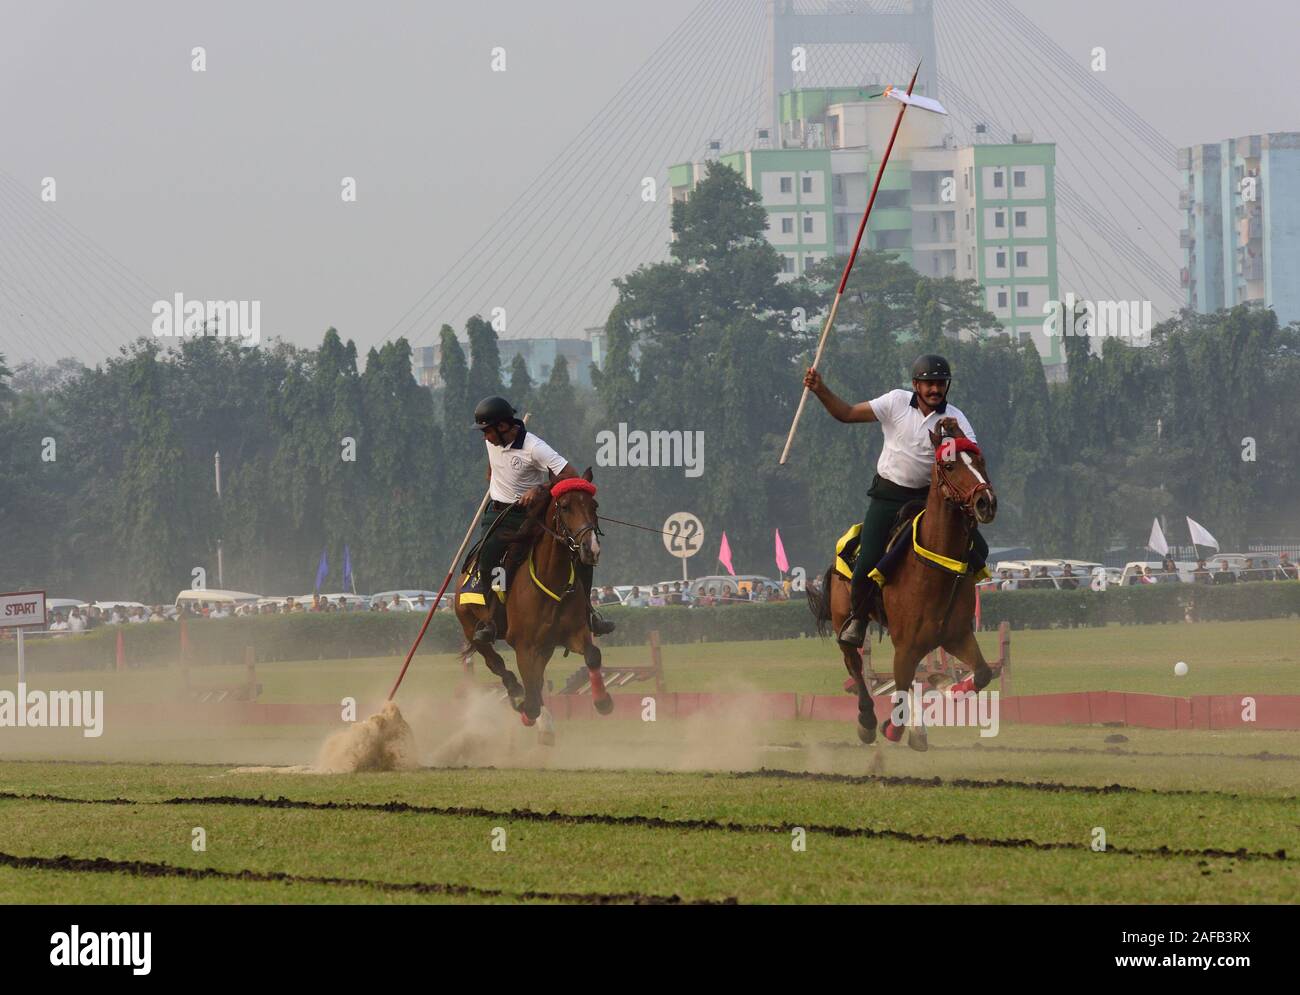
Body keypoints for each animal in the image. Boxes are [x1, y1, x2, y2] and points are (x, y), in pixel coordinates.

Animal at [452, 465, 613, 738]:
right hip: (469, 625)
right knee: (495, 661)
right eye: (565, 506)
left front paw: (603, 701)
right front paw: (528, 710)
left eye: (594, 505)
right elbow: (532, 693)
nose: (590, 549)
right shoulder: (524, 645)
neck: (552, 578)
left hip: (544, 645)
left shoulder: (570, 633)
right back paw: (517, 695)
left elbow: (592, 654)